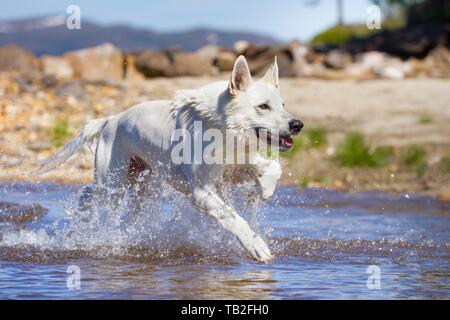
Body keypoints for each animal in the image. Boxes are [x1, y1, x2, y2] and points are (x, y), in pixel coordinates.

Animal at [38, 56, 304, 262]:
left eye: (283, 104)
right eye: (263, 106)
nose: (298, 124)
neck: (223, 128)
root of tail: (110, 120)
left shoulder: (237, 166)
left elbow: (273, 167)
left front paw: (265, 190)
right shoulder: (202, 191)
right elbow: (232, 217)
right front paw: (257, 246)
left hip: (143, 188)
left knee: (98, 197)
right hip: (112, 184)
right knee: (92, 194)